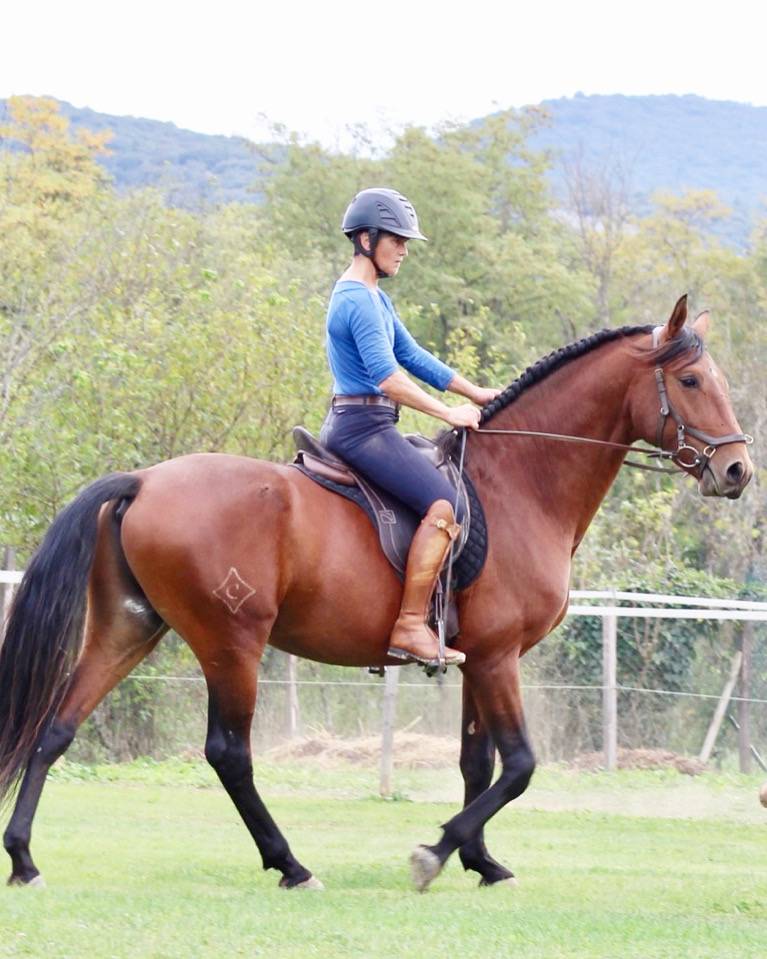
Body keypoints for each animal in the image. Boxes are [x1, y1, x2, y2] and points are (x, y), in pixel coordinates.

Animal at [0, 295, 753, 891]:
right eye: (690, 379)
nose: (737, 469)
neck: (522, 482)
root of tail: (145, 481)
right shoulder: (499, 656)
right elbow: (518, 766)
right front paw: (437, 851)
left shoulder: (477, 658)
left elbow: (476, 762)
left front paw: (480, 861)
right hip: (230, 641)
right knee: (228, 753)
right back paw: (291, 864)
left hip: (130, 626)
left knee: (56, 726)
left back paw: (25, 858)